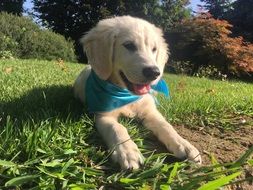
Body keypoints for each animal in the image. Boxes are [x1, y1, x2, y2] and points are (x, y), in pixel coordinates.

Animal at [73, 15, 202, 169]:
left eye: (154, 49)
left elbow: (165, 125)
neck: (127, 94)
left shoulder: (150, 112)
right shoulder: (103, 115)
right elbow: (117, 127)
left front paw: (184, 145)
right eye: (129, 45)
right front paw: (127, 151)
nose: (154, 73)